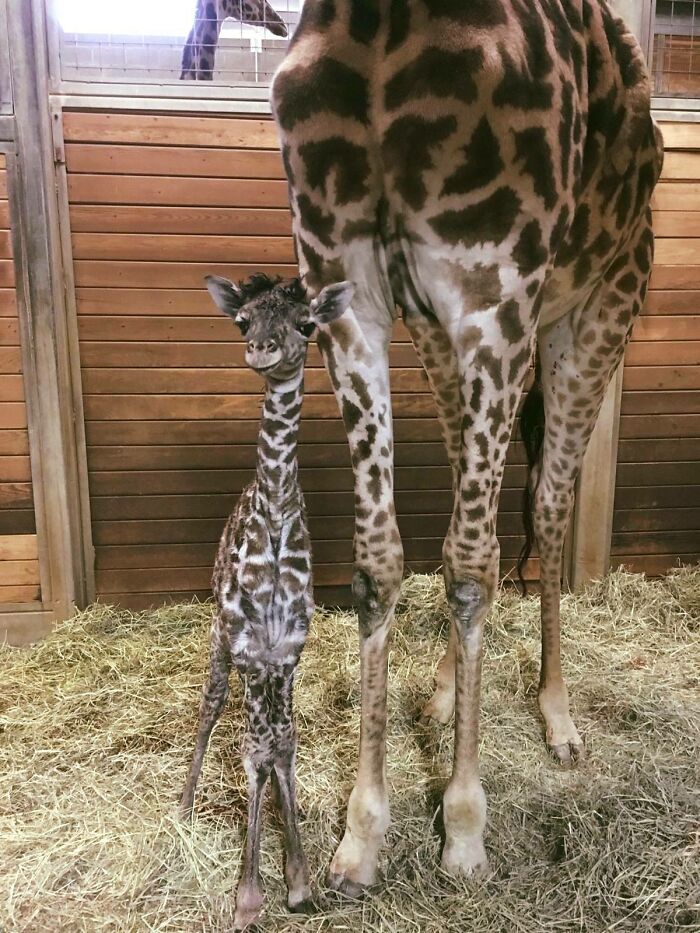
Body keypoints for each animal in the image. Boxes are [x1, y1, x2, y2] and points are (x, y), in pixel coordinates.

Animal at [182, 270, 356, 924]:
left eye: (307, 323)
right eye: (242, 322)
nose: (263, 350)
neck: (275, 514)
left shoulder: (288, 651)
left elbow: (282, 745)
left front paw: (299, 875)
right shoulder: (251, 646)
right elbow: (255, 747)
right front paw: (250, 894)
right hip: (219, 639)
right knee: (211, 706)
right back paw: (184, 804)